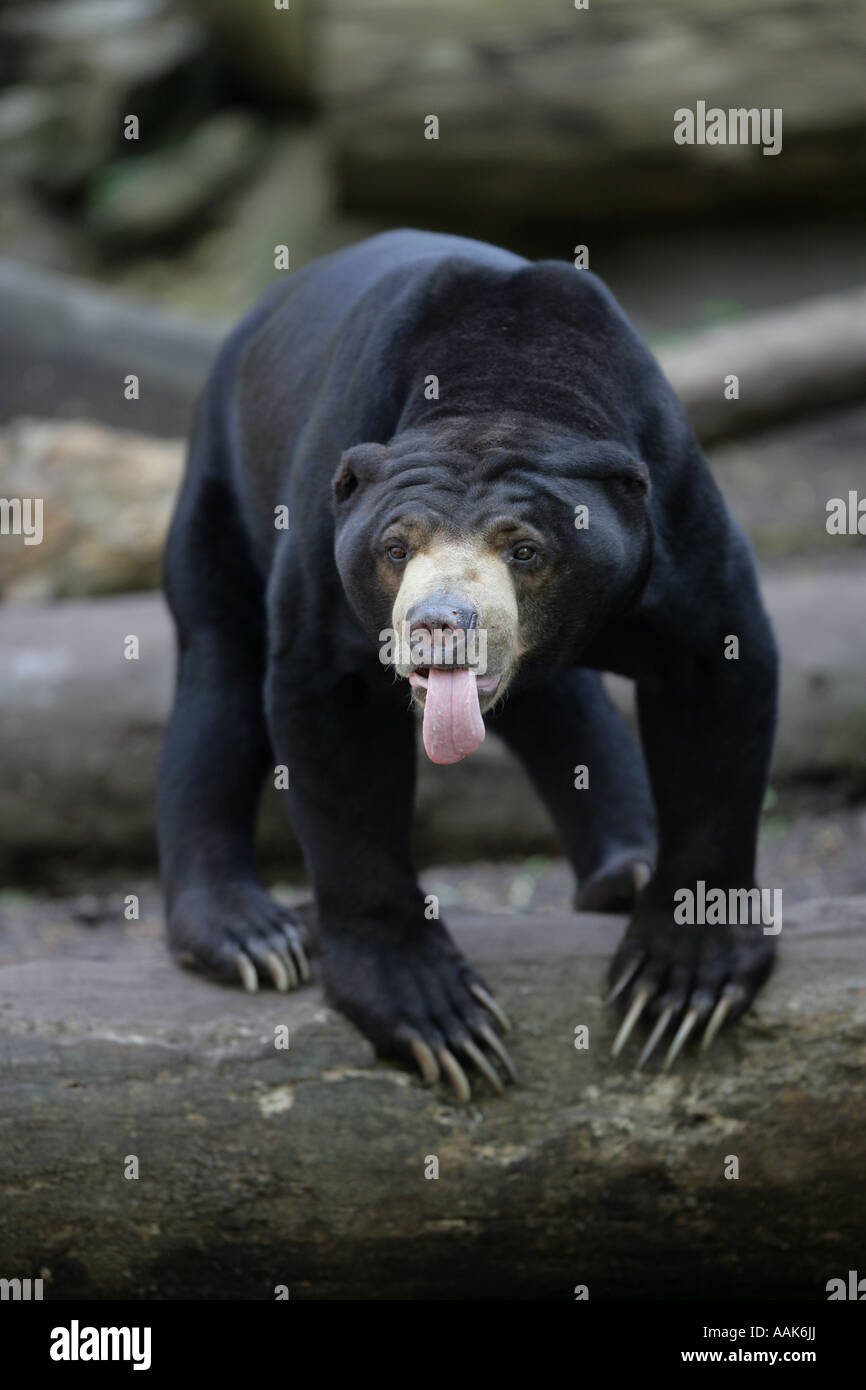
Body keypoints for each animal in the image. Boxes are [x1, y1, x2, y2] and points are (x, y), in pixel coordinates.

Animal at [155, 230, 778, 1095]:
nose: (438, 626)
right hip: (219, 477)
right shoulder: (322, 529)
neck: (503, 388)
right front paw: (437, 1018)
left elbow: (714, 677)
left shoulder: (673, 516)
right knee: (220, 667)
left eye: (525, 550)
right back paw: (250, 937)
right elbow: (332, 716)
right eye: (395, 548)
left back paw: (627, 871)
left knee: (558, 697)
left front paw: (680, 988)